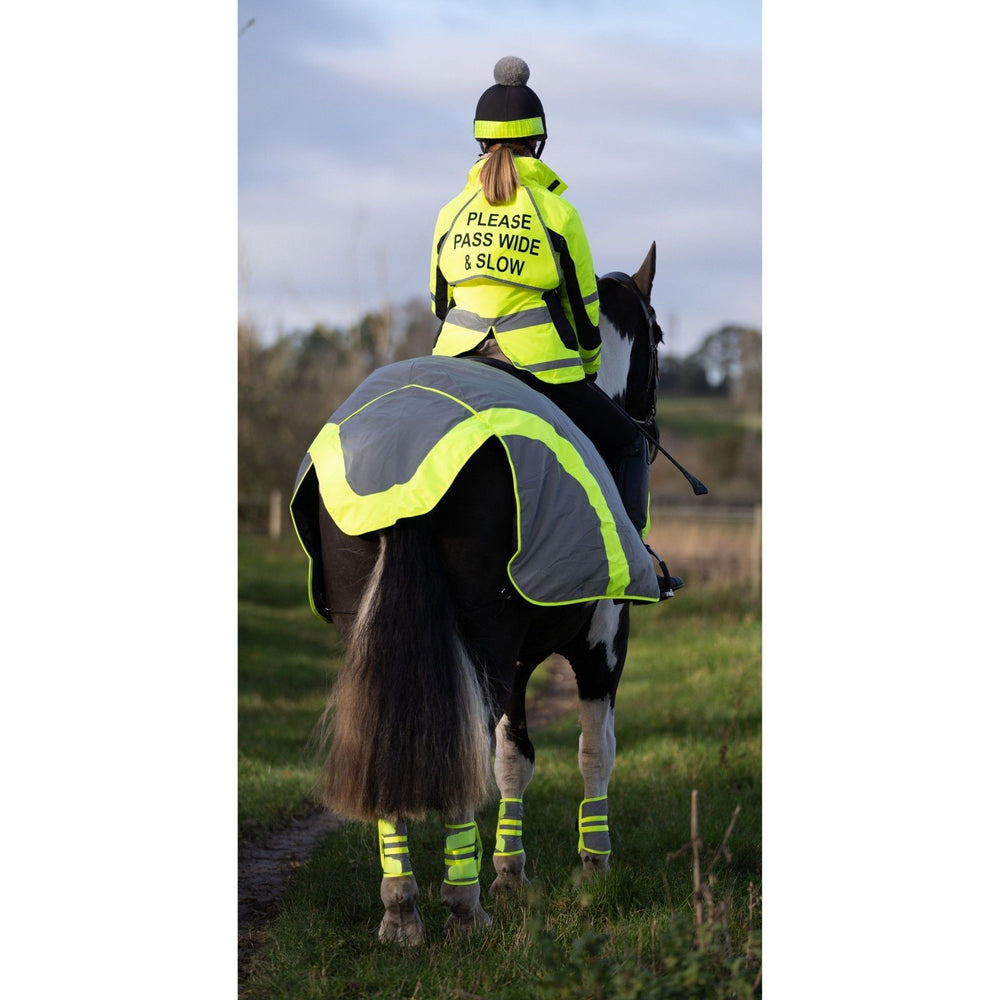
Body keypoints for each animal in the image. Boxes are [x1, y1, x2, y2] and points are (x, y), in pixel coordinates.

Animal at [294, 243, 667, 944]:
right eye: (657, 336)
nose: (651, 427)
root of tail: (403, 458)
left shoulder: (518, 661)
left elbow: (512, 758)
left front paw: (511, 873)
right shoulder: (603, 644)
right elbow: (593, 752)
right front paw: (593, 869)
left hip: (381, 635)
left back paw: (402, 909)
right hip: (488, 640)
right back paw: (463, 909)